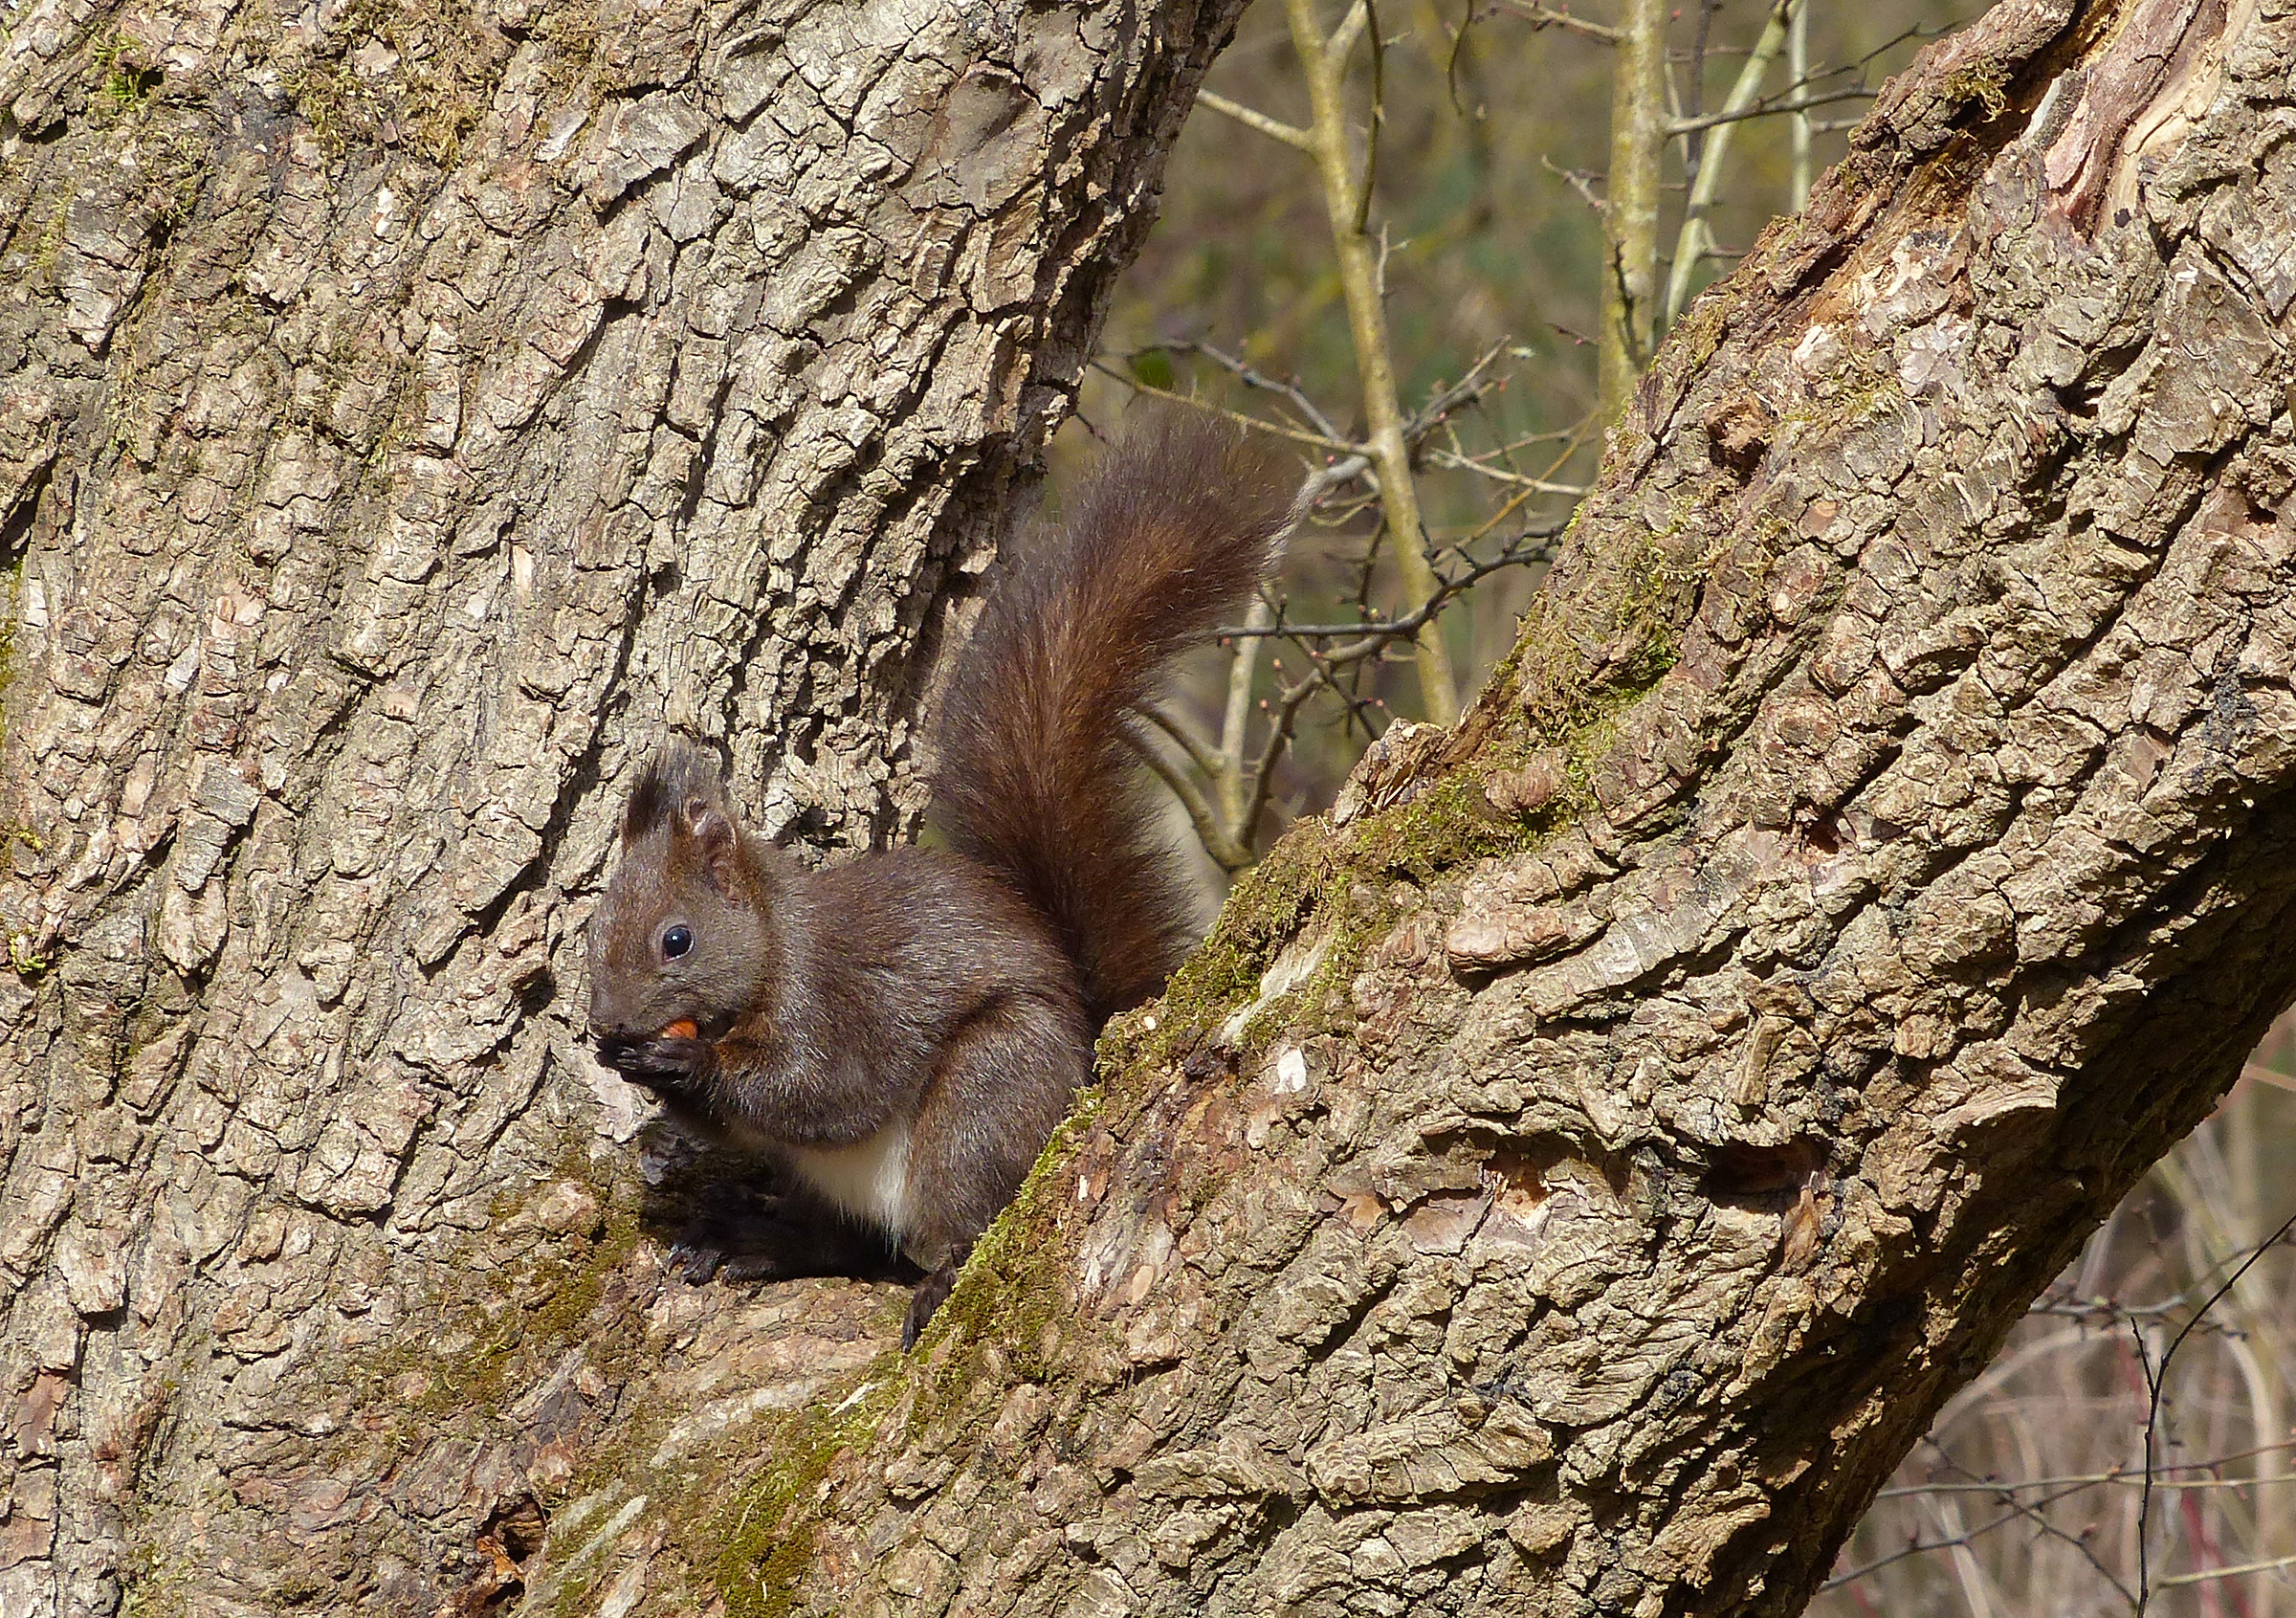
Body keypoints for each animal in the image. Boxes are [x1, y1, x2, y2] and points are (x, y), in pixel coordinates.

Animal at [585, 411, 1293, 1345]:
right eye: (594, 933)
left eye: (678, 939)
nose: (606, 1024)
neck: (771, 945)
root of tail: (1090, 1051)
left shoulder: (838, 998)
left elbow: (823, 1087)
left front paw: (686, 1066)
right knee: (844, 1241)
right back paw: (756, 1239)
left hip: (985, 1100)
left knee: (962, 1213)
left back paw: (938, 1271)